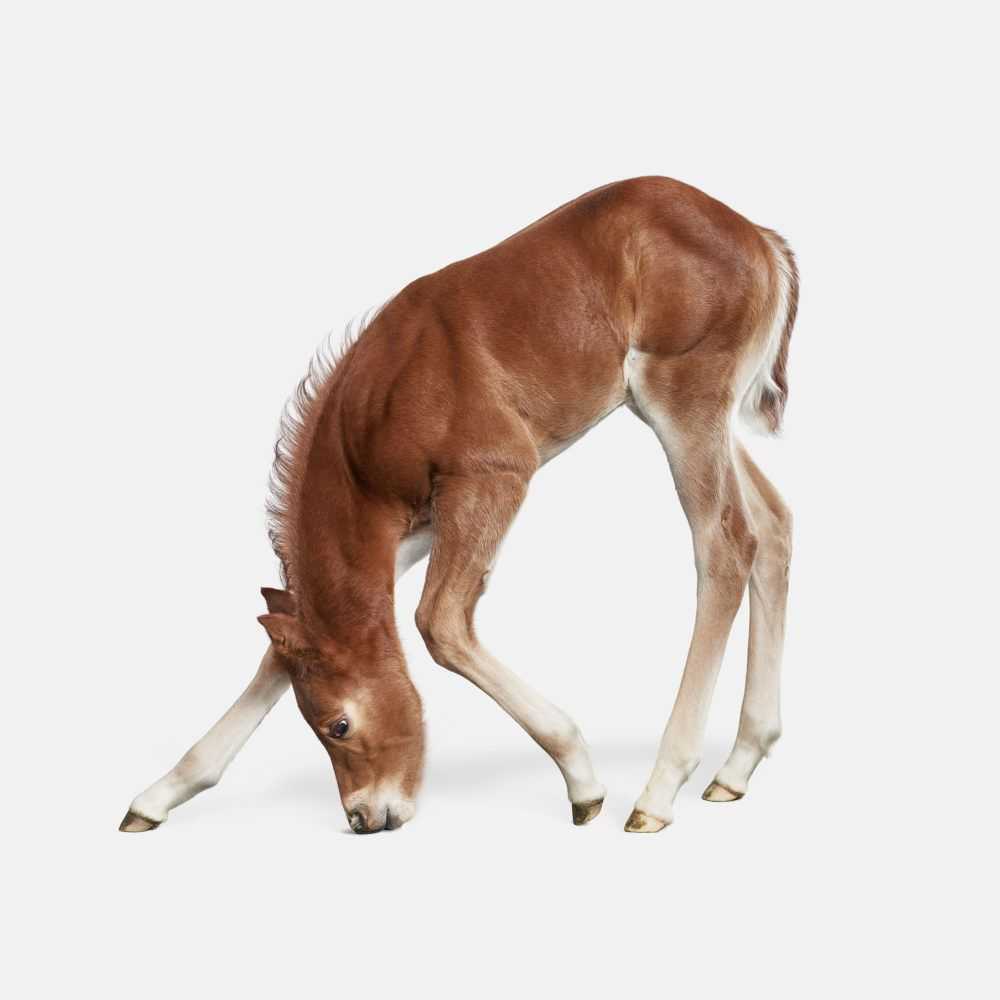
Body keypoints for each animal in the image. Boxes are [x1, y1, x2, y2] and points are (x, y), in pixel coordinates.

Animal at [120, 176, 798, 835]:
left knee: (726, 543)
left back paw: (658, 793)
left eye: (339, 725)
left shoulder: (492, 476)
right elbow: (275, 657)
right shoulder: (414, 523)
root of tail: (759, 238)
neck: (373, 416)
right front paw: (156, 798)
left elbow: (438, 622)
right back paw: (737, 766)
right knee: (773, 526)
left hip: (682, 398)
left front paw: (583, 782)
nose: (365, 819)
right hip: (692, 412)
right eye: (317, 726)